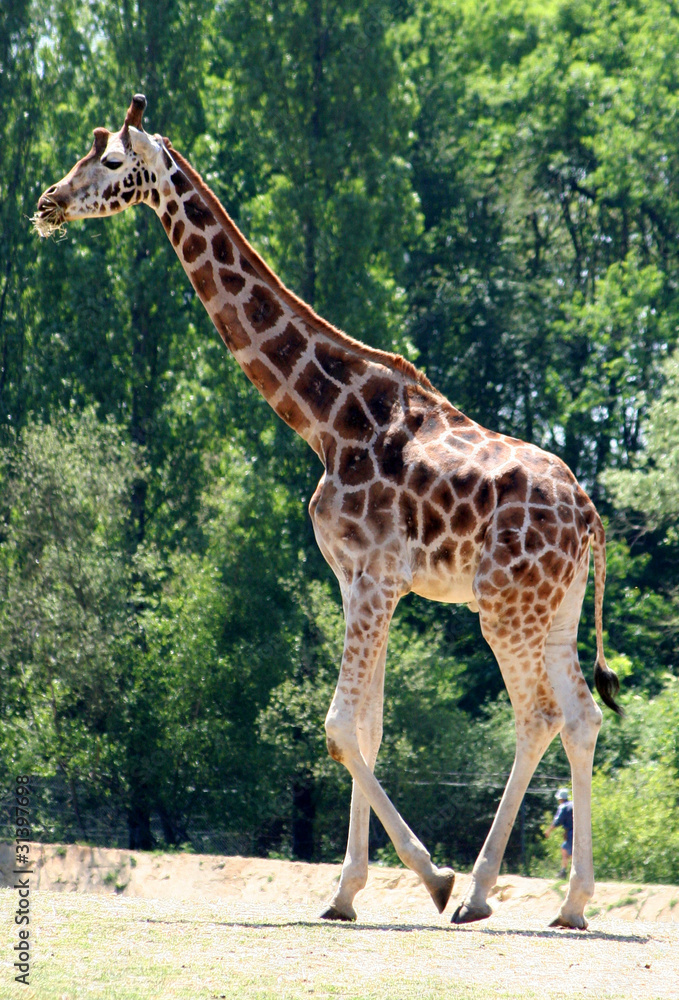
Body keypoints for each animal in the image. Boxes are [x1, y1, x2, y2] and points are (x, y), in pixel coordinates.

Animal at [34, 94, 622, 930]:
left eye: (112, 161)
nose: (47, 203)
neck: (325, 419)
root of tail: (589, 517)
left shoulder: (374, 577)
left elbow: (340, 726)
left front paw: (430, 877)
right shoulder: (355, 580)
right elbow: (367, 728)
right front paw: (344, 892)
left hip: (504, 607)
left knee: (538, 715)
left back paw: (477, 892)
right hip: (555, 606)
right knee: (579, 716)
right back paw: (570, 905)